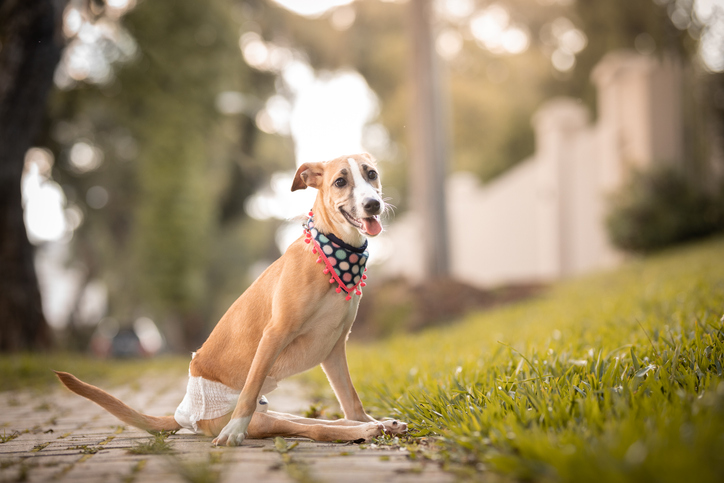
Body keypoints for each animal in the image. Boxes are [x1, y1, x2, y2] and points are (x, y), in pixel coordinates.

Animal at [56, 154, 408, 446]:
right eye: (340, 182)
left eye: (371, 174)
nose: (373, 204)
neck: (332, 252)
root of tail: (185, 415)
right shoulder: (275, 334)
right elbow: (250, 392)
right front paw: (233, 433)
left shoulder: (334, 348)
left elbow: (351, 400)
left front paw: (367, 417)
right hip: (263, 421)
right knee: (314, 428)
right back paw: (365, 430)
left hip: (275, 414)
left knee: (328, 421)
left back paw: (377, 425)